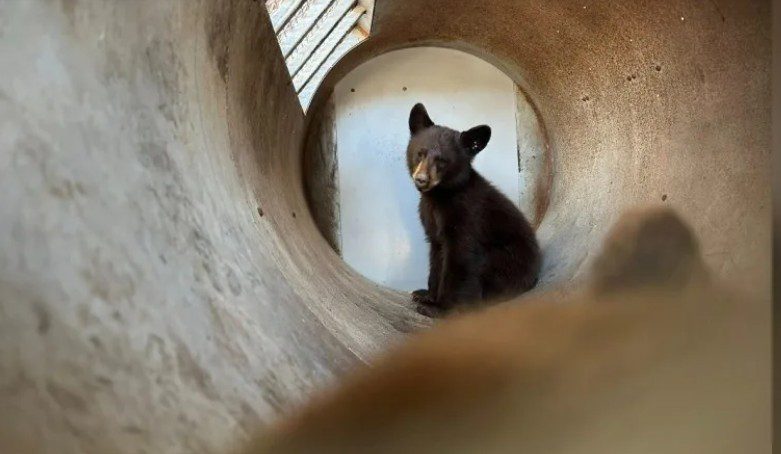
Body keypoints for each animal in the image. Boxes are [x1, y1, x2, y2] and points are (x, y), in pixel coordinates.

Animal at [406, 103, 541, 316]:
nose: (421, 179)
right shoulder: (432, 224)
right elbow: (436, 255)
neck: (439, 196)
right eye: (420, 153)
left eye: (442, 161)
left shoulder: (466, 216)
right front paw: (426, 295)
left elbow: (460, 259)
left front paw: (439, 308)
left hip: (504, 263)